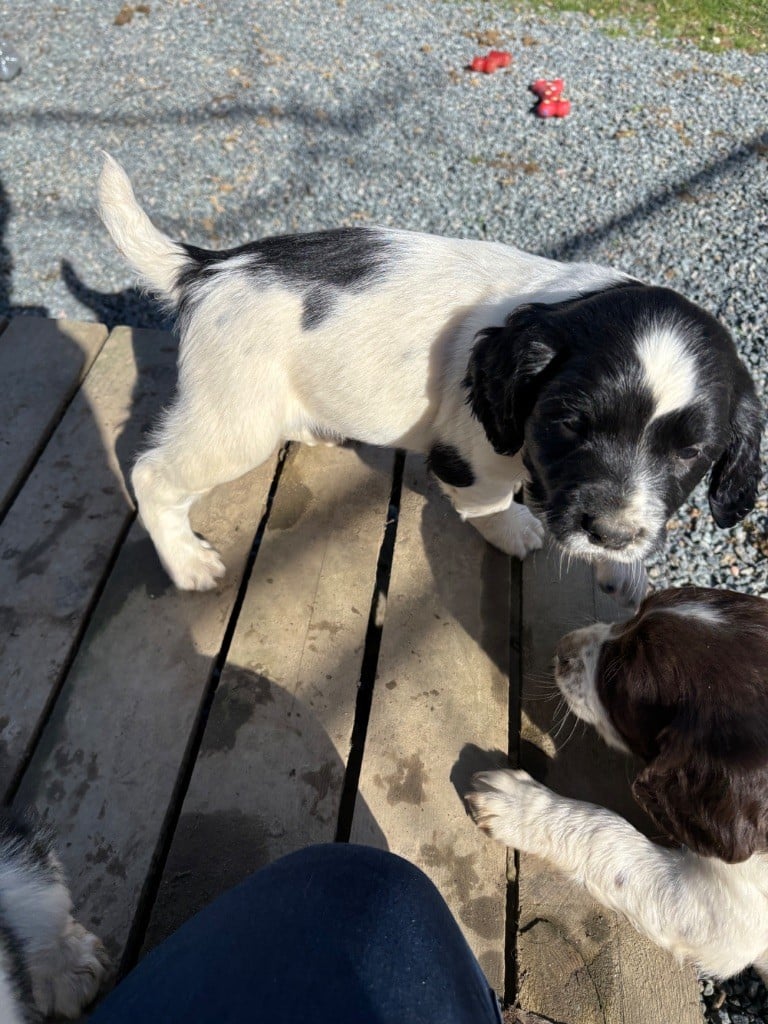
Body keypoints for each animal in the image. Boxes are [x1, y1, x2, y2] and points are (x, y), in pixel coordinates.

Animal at [96, 153, 765, 598]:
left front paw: (624, 564)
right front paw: (517, 530)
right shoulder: (471, 455)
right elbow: (489, 503)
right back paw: (186, 562)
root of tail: (210, 267)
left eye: (691, 454)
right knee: (151, 473)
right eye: (571, 425)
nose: (610, 533)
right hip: (235, 423)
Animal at [473, 593, 768, 983]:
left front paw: (519, 804)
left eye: (615, 678)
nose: (563, 649)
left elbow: (608, 831)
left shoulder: (723, 916)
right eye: (639, 608)